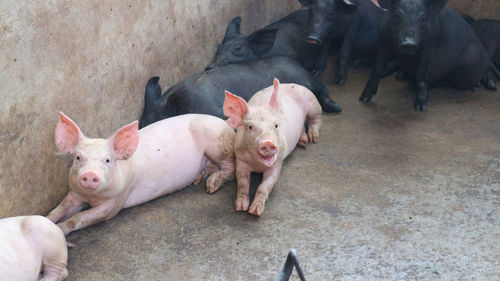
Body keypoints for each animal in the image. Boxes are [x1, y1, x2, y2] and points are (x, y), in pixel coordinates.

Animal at [47, 111, 234, 234]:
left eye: (108, 160)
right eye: (78, 157)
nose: (90, 174)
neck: (92, 197)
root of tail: (226, 124)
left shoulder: (114, 204)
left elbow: (80, 217)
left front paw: (60, 230)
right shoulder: (74, 193)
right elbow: (59, 209)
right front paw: (48, 222)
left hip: (217, 143)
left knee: (230, 167)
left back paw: (211, 186)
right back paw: (199, 178)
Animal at [223, 77, 320, 215]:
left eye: (276, 125)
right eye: (250, 127)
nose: (268, 143)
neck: (258, 165)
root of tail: (291, 84)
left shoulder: (276, 164)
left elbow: (264, 186)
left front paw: (255, 211)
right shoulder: (241, 161)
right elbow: (242, 184)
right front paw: (240, 207)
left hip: (313, 103)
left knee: (316, 119)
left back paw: (313, 139)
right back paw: (303, 141)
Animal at [358, 0, 490, 111]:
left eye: (423, 19)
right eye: (396, 17)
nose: (409, 43)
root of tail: (486, 63)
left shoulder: (429, 48)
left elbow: (421, 73)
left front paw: (420, 108)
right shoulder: (383, 41)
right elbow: (377, 67)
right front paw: (363, 99)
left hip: (465, 73)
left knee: (446, 81)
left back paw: (410, 84)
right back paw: (400, 75)